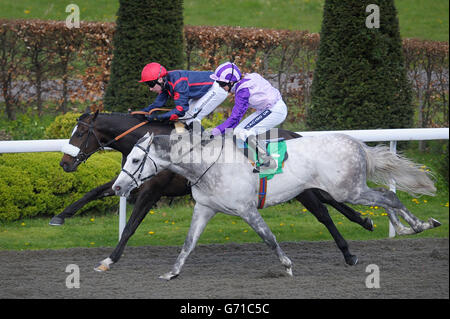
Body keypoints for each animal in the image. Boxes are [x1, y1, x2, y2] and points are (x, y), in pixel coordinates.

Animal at [58, 111, 374, 272]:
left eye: (79, 133)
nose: (64, 163)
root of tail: (293, 134)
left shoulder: (151, 191)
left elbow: (130, 226)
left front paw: (109, 259)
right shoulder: (132, 182)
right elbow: (96, 192)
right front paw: (61, 216)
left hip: (301, 190)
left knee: (324, 211)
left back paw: (351, 247)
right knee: (328, 201)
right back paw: (363, 223)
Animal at [111, 132, 440, 280]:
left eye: (136, 159)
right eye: (128, 157)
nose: (117, 187)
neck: (208, 164)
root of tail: (355, 142)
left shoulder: (247, 209)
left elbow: (268, 238)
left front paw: (287, 265)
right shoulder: (205, 209)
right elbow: (188, 244)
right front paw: (172, 273)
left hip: (348, 190)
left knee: (389, 197)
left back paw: (420, 224)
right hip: (349, 190)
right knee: (384, 195)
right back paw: (404, 228)